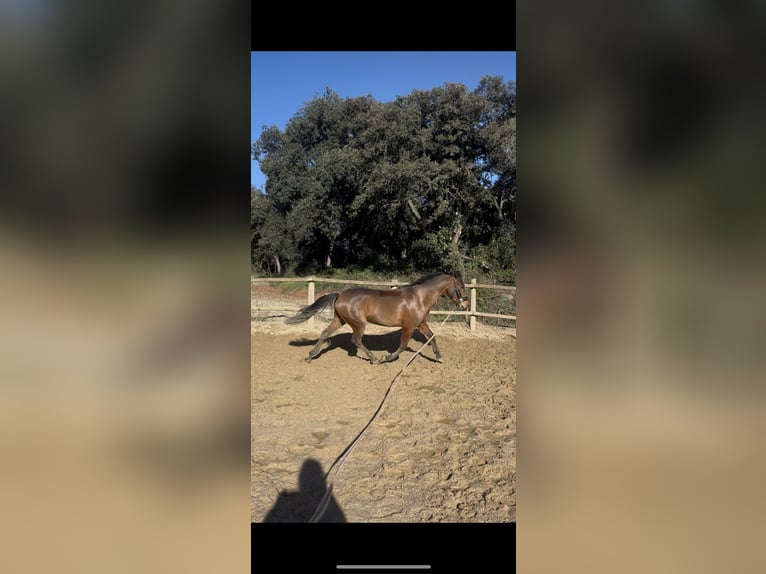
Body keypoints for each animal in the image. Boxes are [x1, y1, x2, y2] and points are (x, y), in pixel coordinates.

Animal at [285, 271, 469, 364]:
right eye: (460, 286)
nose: (466, 305)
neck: (419, 298)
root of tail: (339, 294)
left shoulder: (421, 323)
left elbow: (432, 336)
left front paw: (439, 357)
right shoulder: (409, 326)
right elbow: (403, 345)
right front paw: (388, 357)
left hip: (340, 320)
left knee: (325, 333)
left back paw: (310, 355)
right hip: (359, 323)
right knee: (356, 340)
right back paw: (374, 359)